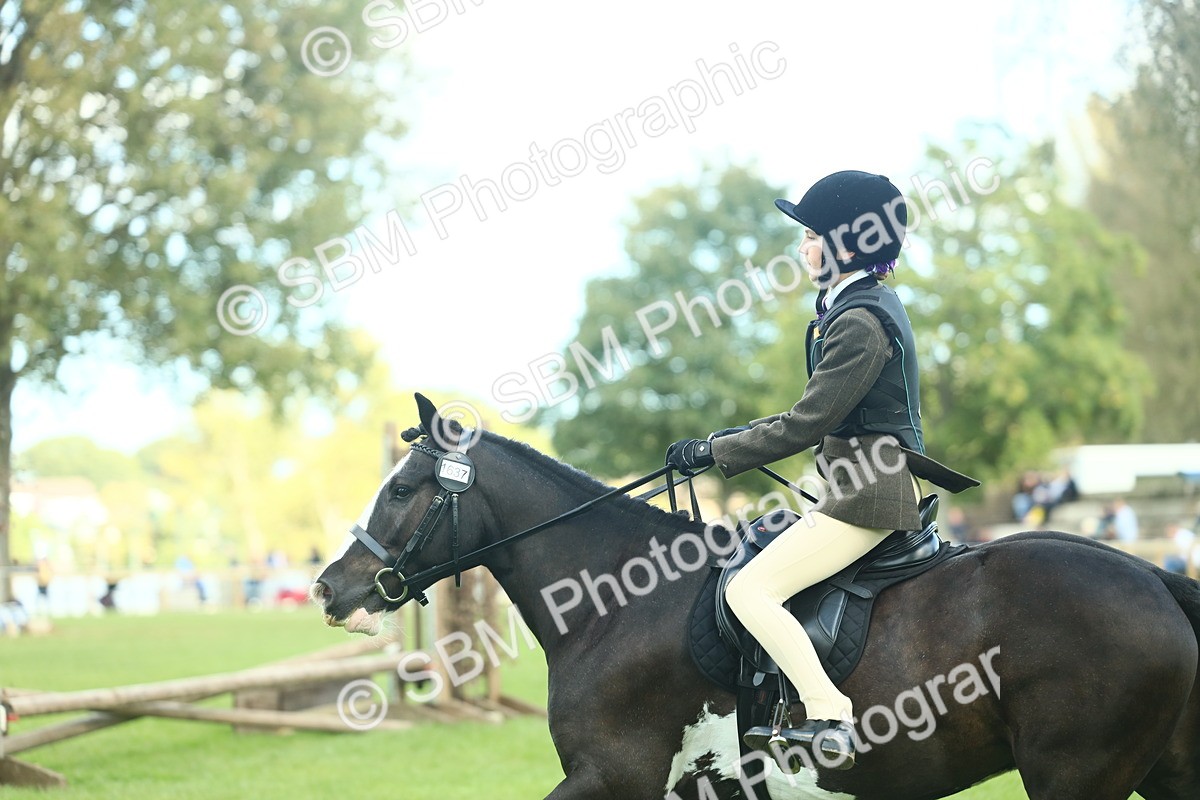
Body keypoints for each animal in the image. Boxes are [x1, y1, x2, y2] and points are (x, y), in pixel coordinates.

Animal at [313, 395, 1200, 800]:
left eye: (402, 490)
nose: (331, 586)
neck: (614, 604)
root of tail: (1155, 576)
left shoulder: (613, 776)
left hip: (1076, 773)